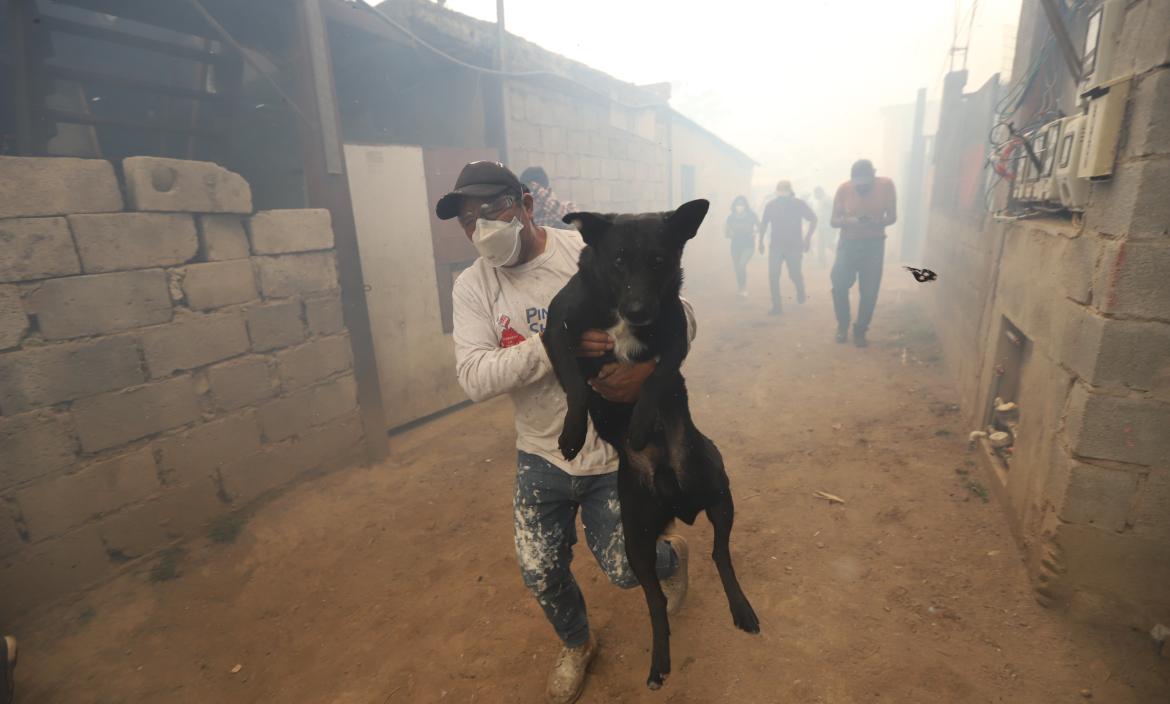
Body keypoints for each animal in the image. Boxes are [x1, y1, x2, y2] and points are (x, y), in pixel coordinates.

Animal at [540, 196, 758, 682]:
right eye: (619, 259)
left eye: (659, 260)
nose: (639, 311)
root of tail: (676, 495)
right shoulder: (558, 331)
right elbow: (577, 386)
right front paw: (572, 434)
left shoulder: (676, 334)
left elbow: (656, 379)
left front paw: (639, 424)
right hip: (636, 543)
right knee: (656, 600)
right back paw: (659, 662)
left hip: (721, 493)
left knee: (721, 556)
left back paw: (742, 610)